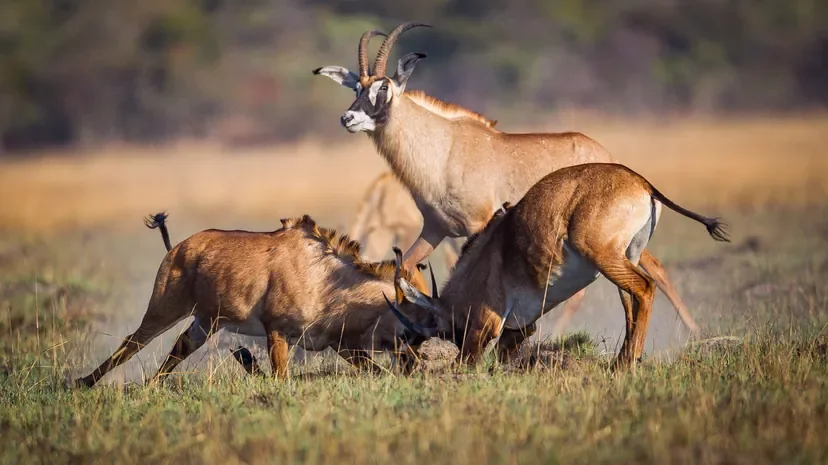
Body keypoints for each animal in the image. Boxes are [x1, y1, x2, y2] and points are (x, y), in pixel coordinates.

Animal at [72, 212, 435, 388]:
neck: (326, 276)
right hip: (165, 309)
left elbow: (377, 371)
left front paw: (246, 358)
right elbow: (282, 378)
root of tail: (179, 247)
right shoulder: (277, 331)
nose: (415, 366)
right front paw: (247, 360)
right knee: (131, 343)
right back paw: (83, 382)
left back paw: (149, 386)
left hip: (205, 322)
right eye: (409, 329)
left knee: (178, 349)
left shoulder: (340, 344)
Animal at [313, 22, 703, 337]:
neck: (443, 147)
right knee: (649, 270)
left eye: (384, 88)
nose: (348, 118)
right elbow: (403, 270)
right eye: (357, 88)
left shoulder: (479, 225)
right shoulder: (435, 229)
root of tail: (615, 162)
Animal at [384, 163, 730, 368]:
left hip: (606, 259)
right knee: (631, 301)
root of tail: (641, 183)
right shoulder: (519, 327)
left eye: (442, 327)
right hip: (625, 258)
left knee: (645, 288)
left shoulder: (485, 324)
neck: (489, 251)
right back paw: (621, 362)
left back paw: (627, 363)